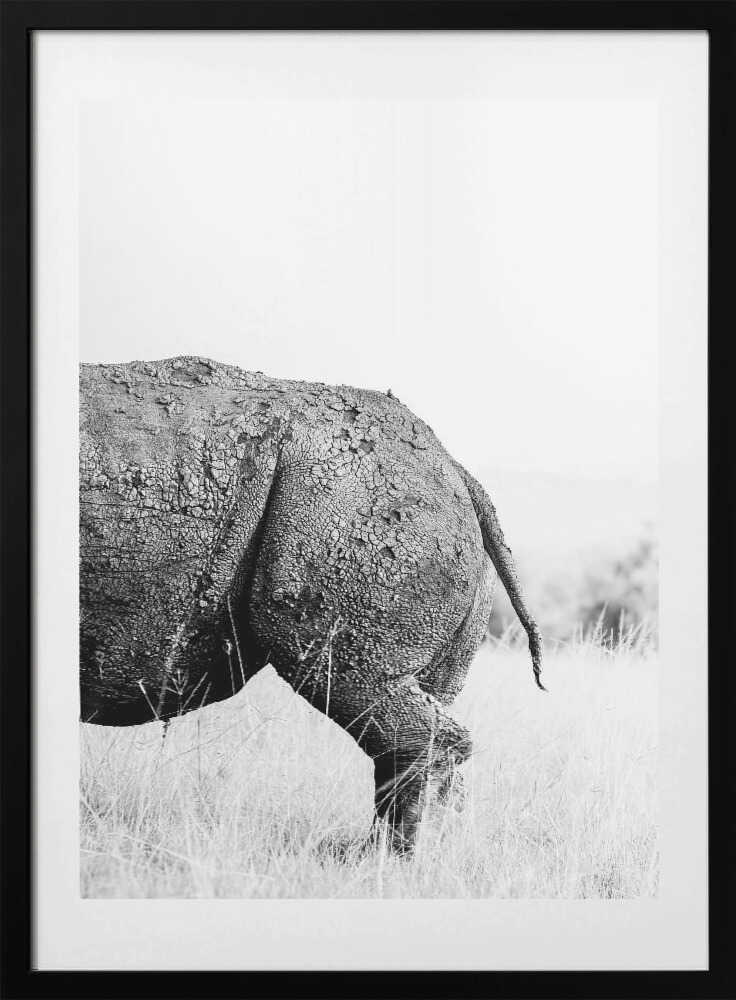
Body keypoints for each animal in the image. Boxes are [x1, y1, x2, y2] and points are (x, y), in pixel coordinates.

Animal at [80, 357, 543, 851]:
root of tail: (455, 466)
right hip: (406, 513)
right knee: (420, 700)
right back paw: (407, 853)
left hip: (352, 504)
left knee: (356, 683)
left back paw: (387, 859)